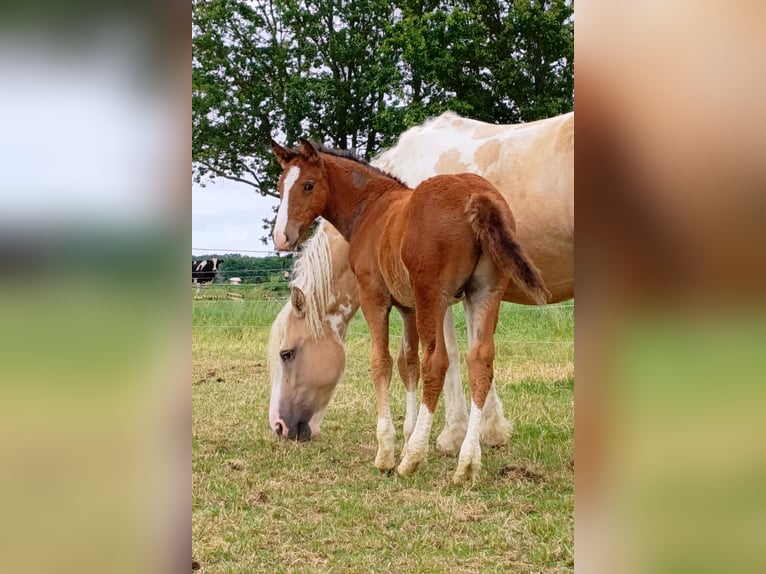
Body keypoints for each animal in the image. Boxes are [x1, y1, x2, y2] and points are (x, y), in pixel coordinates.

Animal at [266, 112, 574, 456]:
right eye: (279, 185)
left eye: (286, 353)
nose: (279, 426)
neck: (383, 208)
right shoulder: (460, 296)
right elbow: (466, 354)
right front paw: (489, 432)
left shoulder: (435, 298)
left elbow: (443, 357)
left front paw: (449, 435)